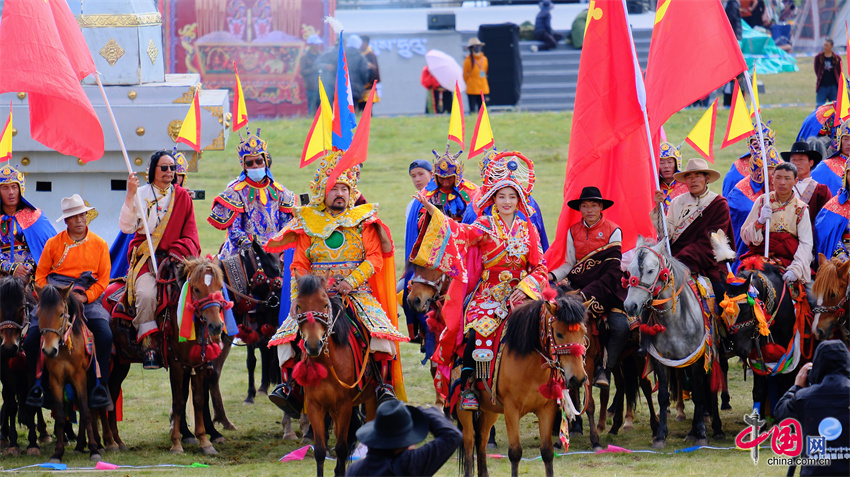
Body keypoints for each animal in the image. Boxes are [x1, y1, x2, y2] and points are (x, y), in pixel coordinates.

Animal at [35, 283, 113, 462]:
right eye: (38, 313)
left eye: (60, 314)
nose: (49, 350)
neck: (64, 348)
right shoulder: (56, 380)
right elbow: (60, 416)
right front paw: (58, 452)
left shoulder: (79, 377)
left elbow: (85, 412)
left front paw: (94, 450)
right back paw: (79, 445)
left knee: (93, 408)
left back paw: (99, 444)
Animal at [291, 273, 378, 477]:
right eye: (299, 306)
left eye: (324, 305)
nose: (313, 345)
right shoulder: (315, 405)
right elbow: (320, 451)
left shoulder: (344, 405)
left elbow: (341, 449)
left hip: (369, 399)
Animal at [458, 293, 589, 477]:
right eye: (559, 334)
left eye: (584, 333)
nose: (578, 378)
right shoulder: (511, 409)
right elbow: (515, 453)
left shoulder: (546, 409)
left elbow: (547, 452)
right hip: (462, 407)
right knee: (469, 439)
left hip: (490, 409)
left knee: (482, 438)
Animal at [623, 238, 723, 448]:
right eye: (629, 271)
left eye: (651, 270)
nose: (630, 306)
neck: (676, 320)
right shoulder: (661, 361)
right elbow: (662, 397)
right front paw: (661, 435)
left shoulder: (696, 359)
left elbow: (699, 393)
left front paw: (702, 433)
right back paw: (692, 432)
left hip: (713, 353)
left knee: (709, 386)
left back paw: (715, 429)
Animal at [721, 257, 806, 417]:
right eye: (724, 312)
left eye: (746, 310)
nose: (740, 350)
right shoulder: (758, 353)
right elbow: (758, 390)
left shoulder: (787, 354)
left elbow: (785, 386)